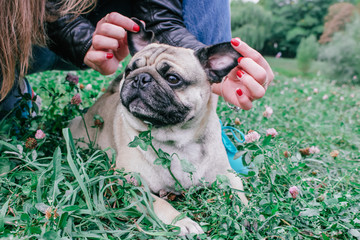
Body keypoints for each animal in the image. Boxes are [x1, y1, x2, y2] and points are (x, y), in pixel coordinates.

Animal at [71, 19, 250, 236]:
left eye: (173, 79)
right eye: (129, 71)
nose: (140, 78)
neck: (178, 140)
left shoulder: (227, 174)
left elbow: (239, 192)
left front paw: (245, 212)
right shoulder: (130, 185)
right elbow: (158, 204)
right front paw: (183, 222)